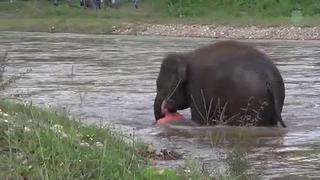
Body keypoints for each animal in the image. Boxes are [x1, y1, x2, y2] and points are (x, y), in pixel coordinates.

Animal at [154, 40, 286, 128]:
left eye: (160, 86)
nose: (166, 108)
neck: (186, 56)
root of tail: (269, 75)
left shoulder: (197, 86)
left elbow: (199, 119)